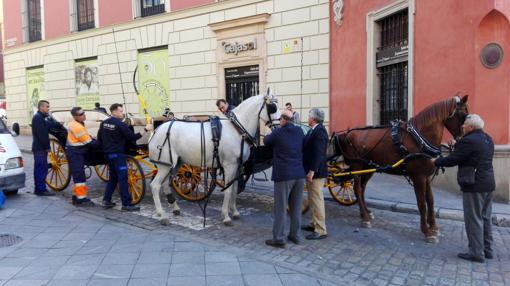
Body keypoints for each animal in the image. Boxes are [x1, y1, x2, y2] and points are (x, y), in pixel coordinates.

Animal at [149, 92, 280, 225]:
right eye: (272, 107)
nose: (279, 126)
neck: (237, 129)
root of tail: (157, 130)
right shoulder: (229, 165)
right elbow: (228, 190)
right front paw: (226, 216)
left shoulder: (237, 166)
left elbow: (234, 189)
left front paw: (235, 212)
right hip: (164, 165)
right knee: (155, 185)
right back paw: (162, 214)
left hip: (175, 164)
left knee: (165, 184)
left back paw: (174, 208)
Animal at [330, 95, 470, 242]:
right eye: (463, 115)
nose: (462, 139)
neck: (420, 139)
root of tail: (347, 133)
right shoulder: (418, 177)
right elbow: (421, 203)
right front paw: (426, 231)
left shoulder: (426, 177)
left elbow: (430, 201)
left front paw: (433, 227)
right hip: (357, 165)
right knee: (357, 188)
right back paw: (365, 218)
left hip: (368, 167)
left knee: (361, 189)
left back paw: (366, 213)